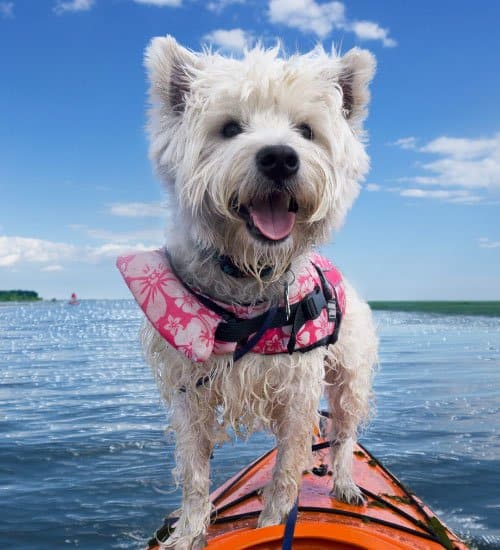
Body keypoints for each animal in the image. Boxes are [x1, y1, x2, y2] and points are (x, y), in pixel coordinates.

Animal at [116, 36, 376, 548]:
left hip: (349, 377)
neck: (246, 284)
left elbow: (287, 472)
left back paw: (344, 482)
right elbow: (195, 473)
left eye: (306, 131)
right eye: (230, 128)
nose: (279, 157)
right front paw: (188, 532)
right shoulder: (189, 391)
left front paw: (273, 525)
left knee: (343, 435)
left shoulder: (298, 390)